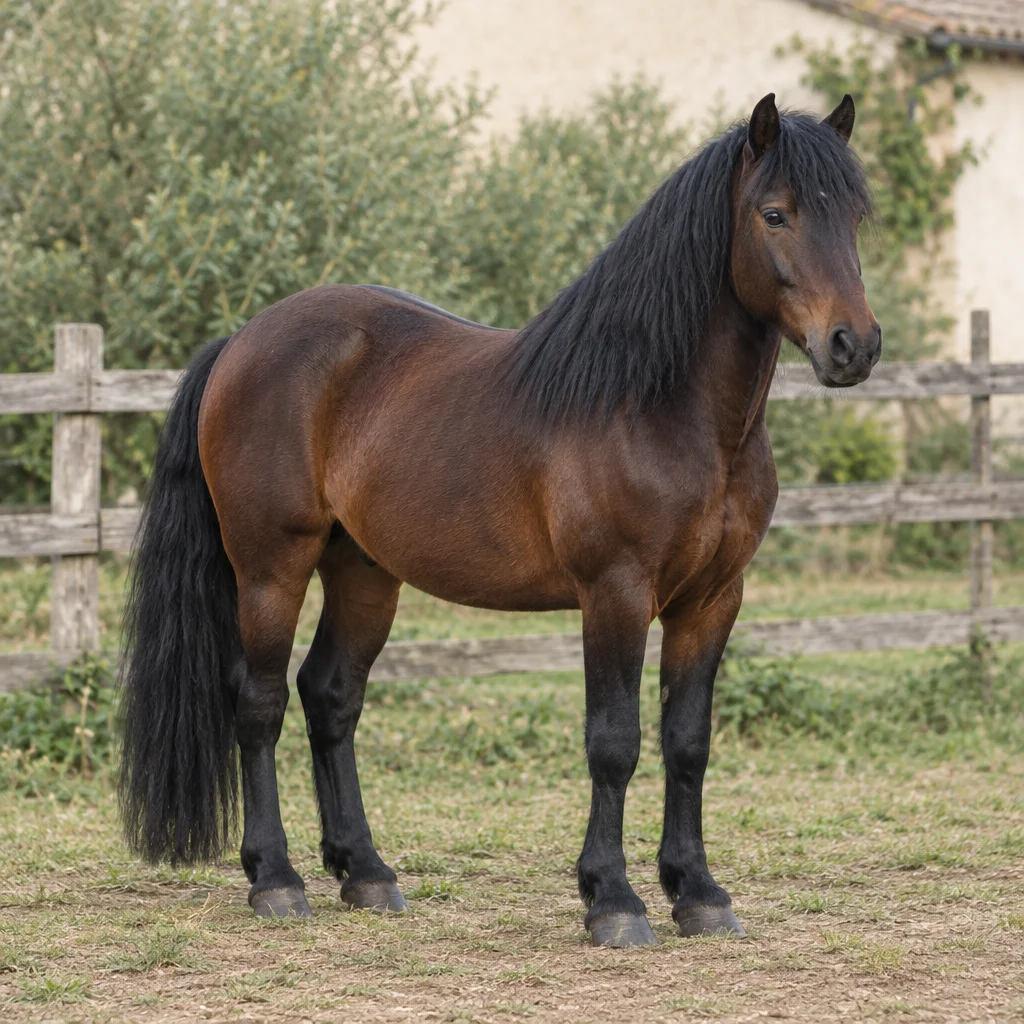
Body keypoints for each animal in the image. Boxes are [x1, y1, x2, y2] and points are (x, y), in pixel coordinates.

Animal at [118, 92, 879, 947]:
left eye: (854, 216)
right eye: (775, 214)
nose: (853, 346)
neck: (660, 407)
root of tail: (242, 342)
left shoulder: (713, 599)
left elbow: (688, 741)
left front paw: (699, 892)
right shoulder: (614, 593)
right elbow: (614, 742)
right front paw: (613, 900)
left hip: (364, 573)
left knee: (331, 695)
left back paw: (366, 872)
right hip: (269, 568)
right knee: (260, 703)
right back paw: (275, 879)